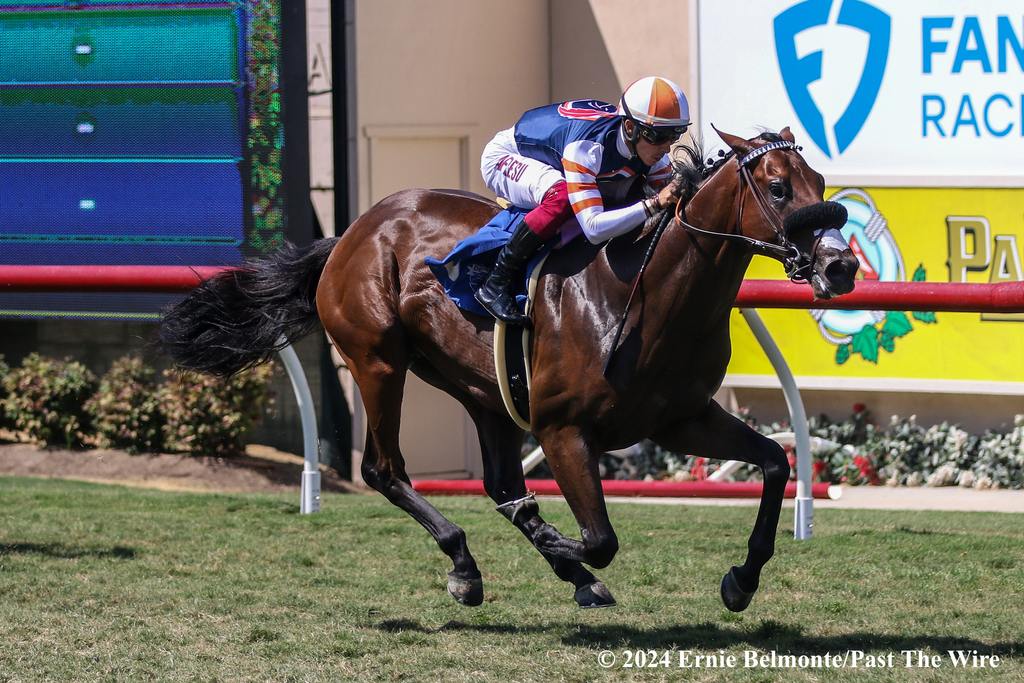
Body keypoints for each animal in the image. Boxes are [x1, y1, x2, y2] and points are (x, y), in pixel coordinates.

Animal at [159, 126, 860, 610]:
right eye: (778, 188)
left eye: (822, 184)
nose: (841, 265)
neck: (646, 293)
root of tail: (351, 231)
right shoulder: (562, 429)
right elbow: (599, 538)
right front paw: (560, 545)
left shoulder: (681, 418)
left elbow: (774, 462)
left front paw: (741, 580)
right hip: (378, 361)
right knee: (384, 469)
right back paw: (468, 566)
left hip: (481, 390)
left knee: (498, 484)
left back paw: (556, 573)